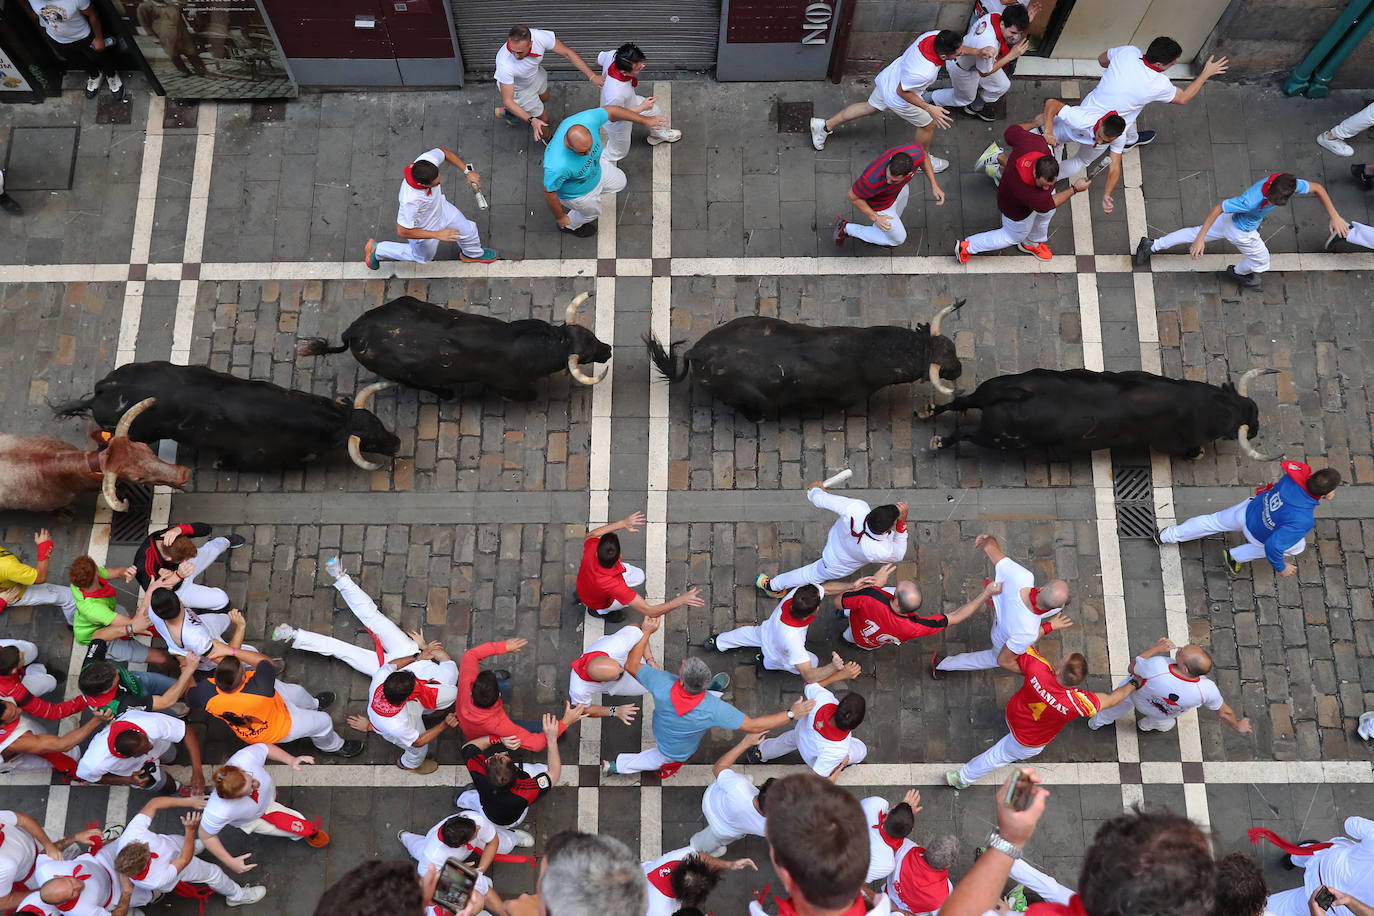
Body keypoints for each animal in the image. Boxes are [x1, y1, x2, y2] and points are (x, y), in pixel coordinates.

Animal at [299, 295, 612, 398]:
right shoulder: (509, 386)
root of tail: (353, 331)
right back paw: (446, 394)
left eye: (591, 334)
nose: (608, 349)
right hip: (401, 375)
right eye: (586, 353)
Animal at [928, 365, 1269, 458]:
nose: (1256, 425)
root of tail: (1017, 395)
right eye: (1242, 423)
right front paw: (1196, 454)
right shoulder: (1169, 443)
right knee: (965, 431)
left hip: (989, 390)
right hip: (1000, 439)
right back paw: (939, 441)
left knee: (960, 402)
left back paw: (930, 411)